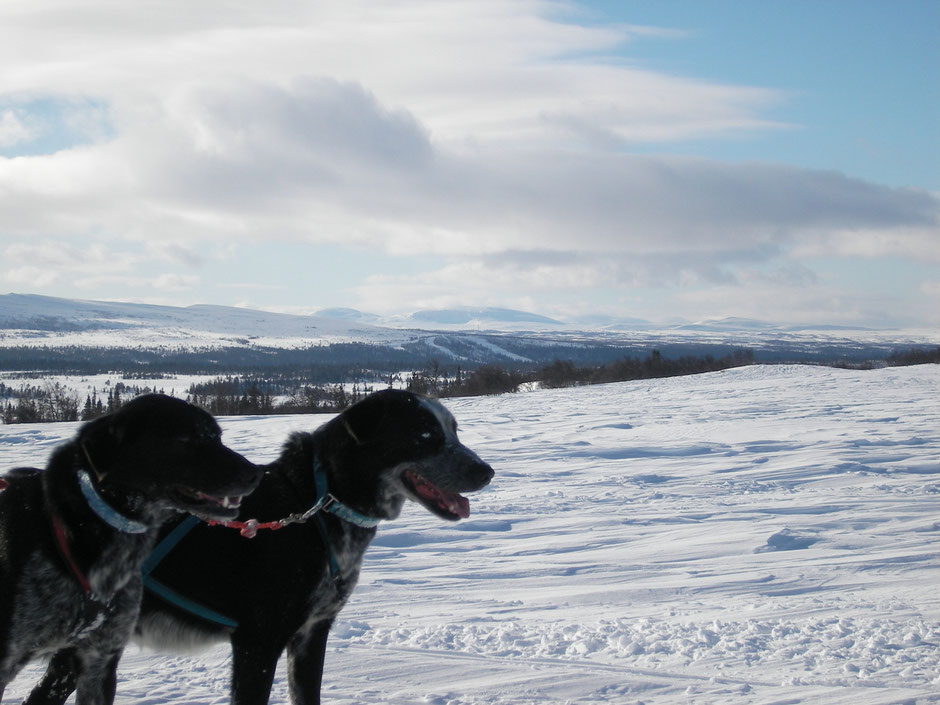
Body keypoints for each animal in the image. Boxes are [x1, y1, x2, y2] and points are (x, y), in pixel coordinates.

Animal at [27, 388, 492, 704]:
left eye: (454, 431)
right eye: (425, 435)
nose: (486, 471)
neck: (316, 504)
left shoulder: (311, 635)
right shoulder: (258, 642)